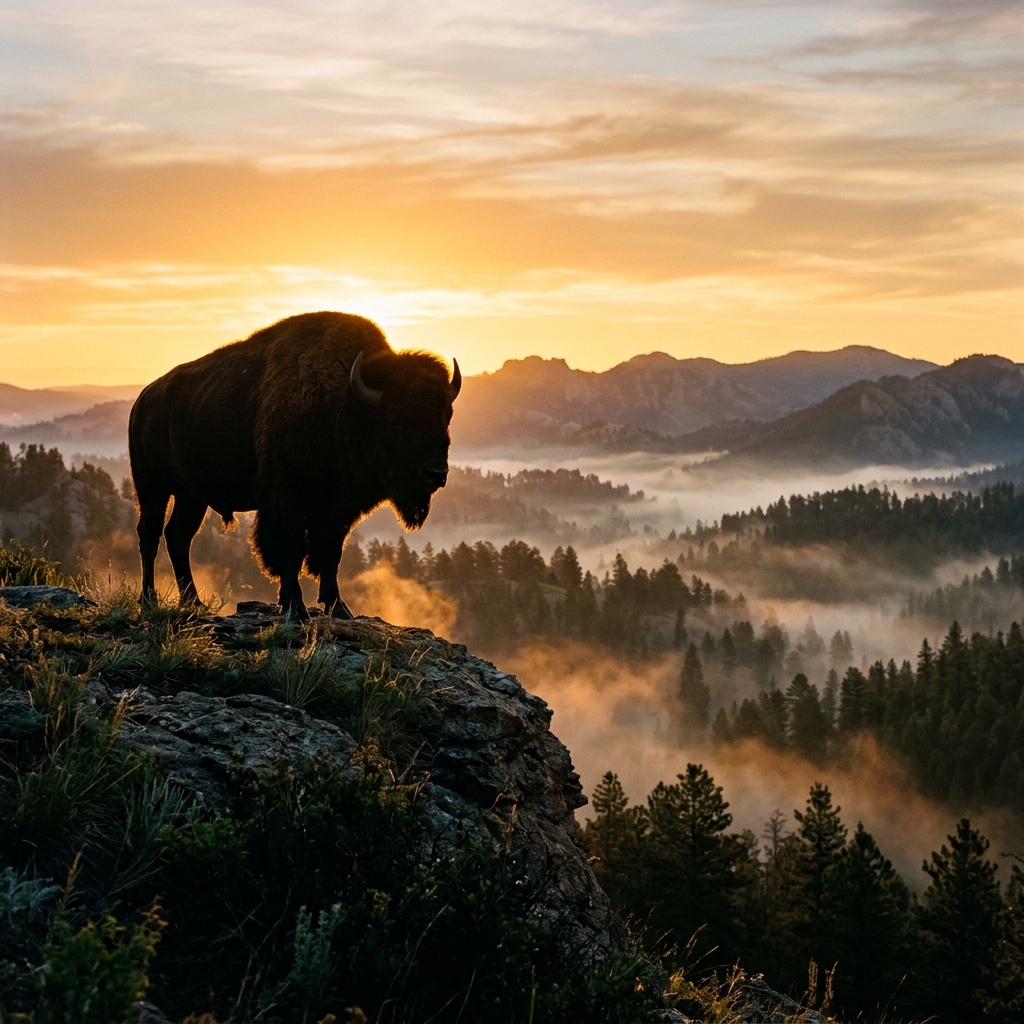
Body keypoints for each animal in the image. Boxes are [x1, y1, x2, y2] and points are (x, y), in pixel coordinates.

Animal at [128, 311, 460, 618]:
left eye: (447, 415)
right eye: (396, 418)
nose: (436, 474)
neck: (344, 402)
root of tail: (143, 398)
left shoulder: (337, 511)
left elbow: (329, 556)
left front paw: (338, 606)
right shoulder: (285, 504)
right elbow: (289, 553)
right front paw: (296, 607)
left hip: (192, 496)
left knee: (178, 537)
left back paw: (193, 602)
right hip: (152, 487)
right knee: (149, 534)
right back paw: (149, 599)